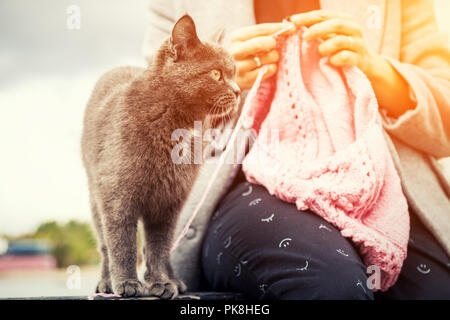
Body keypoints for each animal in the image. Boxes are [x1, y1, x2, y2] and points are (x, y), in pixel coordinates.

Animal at [82, 15, 241, 298]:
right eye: (216, 74)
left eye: (234, 73)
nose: (238, 91)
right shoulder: (115, 195)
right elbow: (121, 243)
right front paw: (126, 283)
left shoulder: (168, 202)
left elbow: (157, 247)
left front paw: (162, 283)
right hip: (94, 194)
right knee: (104, 244)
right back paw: (106, 282)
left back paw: (174, 280)